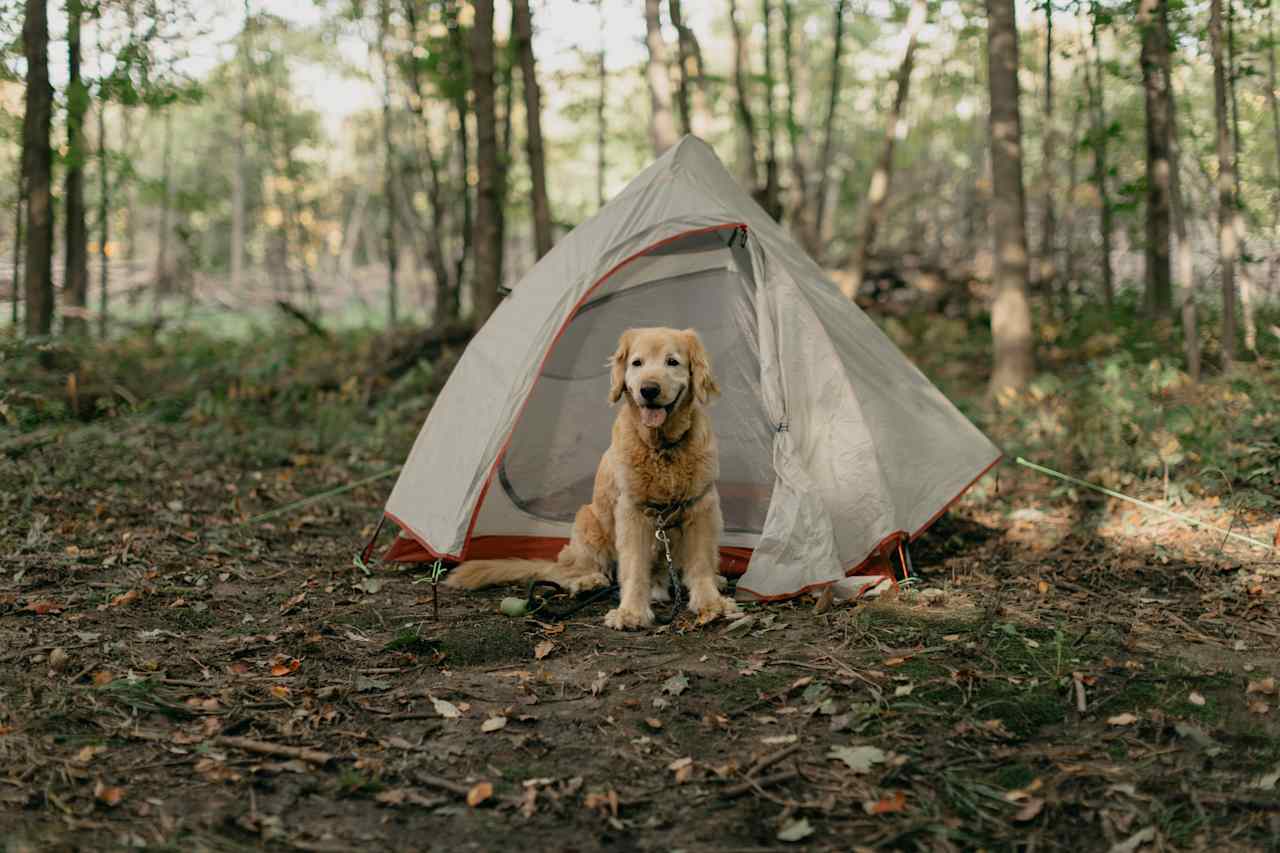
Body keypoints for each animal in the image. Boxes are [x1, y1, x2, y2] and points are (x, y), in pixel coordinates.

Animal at [445, 327, 742, 627]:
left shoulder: (702, 506)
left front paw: (710, 602)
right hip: (587, 520)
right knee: (568, 570)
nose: (648, 390)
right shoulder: (632, 511)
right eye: (637, 363)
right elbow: (634, 567)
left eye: (672, 362)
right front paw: (631, 611)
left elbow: (700, 562)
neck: (663, 448)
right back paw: (589, 582)